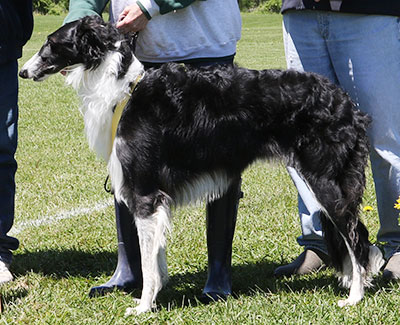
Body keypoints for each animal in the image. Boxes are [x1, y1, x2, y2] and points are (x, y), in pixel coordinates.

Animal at [19, 15, 384, 314]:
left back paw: (354, 296)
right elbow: (156, 258)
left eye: (51, 43)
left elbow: (148, 264)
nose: (23, 71)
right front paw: (154, 296)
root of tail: (346, 103)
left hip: (325, 181)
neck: (123, 90)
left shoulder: (145, 194)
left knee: (356, 238)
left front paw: (143, 306)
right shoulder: (154, 198)